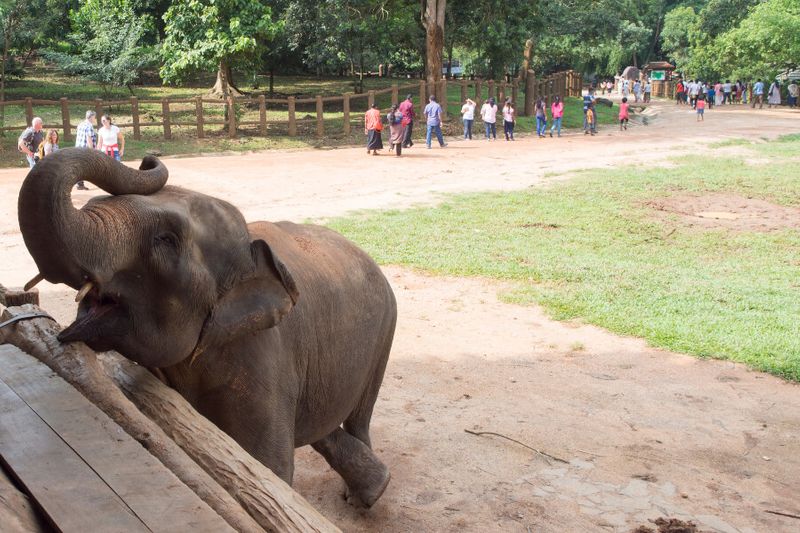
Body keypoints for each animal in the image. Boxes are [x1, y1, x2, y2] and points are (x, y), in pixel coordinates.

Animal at [21, 148, 400, 504]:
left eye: (166, 239)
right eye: (94, 203)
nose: (147, 159)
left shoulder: (261, 358)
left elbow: (268, 467)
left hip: (386, 329)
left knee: (361, 413)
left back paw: (364, 497)